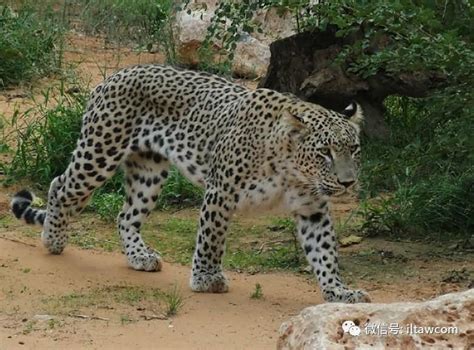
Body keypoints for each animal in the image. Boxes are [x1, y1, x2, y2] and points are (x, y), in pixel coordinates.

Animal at [9, 63, 368, 304]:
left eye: (354, 149)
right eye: (325, 152)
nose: (347, 182)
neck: (293, 170)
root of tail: (113, 76)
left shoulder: (312, 208)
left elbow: (324, 252)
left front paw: (339, 291)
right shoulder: (222, 191)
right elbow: (212, 238)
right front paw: (207, 278)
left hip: (149, 170)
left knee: (126, 215)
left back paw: (139, 257)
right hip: (100, 153)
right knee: (60, 186)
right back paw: (53, 239)